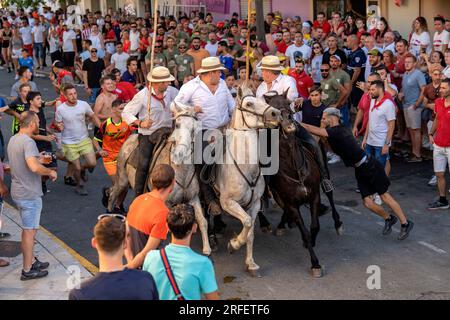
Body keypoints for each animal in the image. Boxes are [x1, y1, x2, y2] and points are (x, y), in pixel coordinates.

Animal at [108, 106, 212, 256]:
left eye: (194, 128)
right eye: (177, 124)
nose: (180, 153)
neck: (180, 170)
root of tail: (130, 138)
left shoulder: (193, 198)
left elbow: (202, 221)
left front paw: (207, 248)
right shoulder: (167, 202)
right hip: (122, 179)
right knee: (113, 193)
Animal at [214, 85, 282, 278]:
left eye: (263, 100)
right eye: (249, 103)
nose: (276, 114)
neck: (246, 167)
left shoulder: (255, 204)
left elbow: (250, 232)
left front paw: (250, 263)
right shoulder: (228, 202)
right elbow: (246, 223)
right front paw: (234, 244)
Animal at [258, 91, 342, 276]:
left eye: (288, 103)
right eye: (272, 108)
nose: (288, 120)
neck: (294, 168)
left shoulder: (314, 196)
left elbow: (314, 226)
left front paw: (311, 242)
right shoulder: (290, 202)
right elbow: (303, 229)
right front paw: (315, 264)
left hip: (324, 168)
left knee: (330, 194)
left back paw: (338, 223)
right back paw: (283, 223)